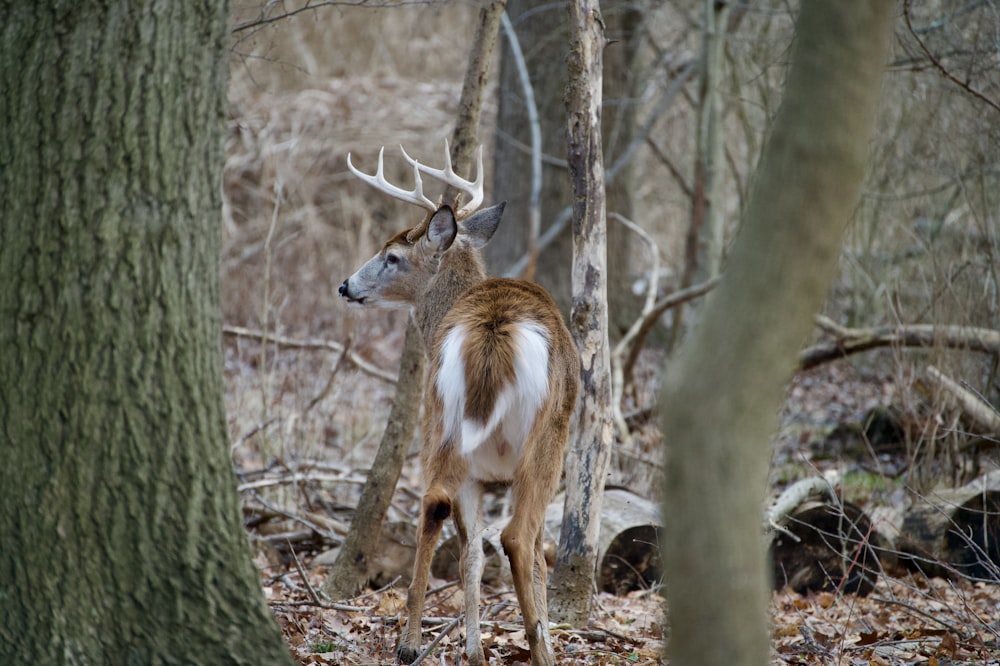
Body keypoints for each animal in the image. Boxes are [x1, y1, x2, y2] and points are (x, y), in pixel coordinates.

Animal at [340, 141, 580, 664]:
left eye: (391, 255)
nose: (345, 285)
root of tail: (491, 329)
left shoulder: (477, 471)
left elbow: (470, 552)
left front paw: (472, 649)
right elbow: (526, 552)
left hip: (441, 419)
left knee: (435, 505)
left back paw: (410, 644)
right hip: (547, 437)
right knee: (520, 536)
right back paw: (540, 647)